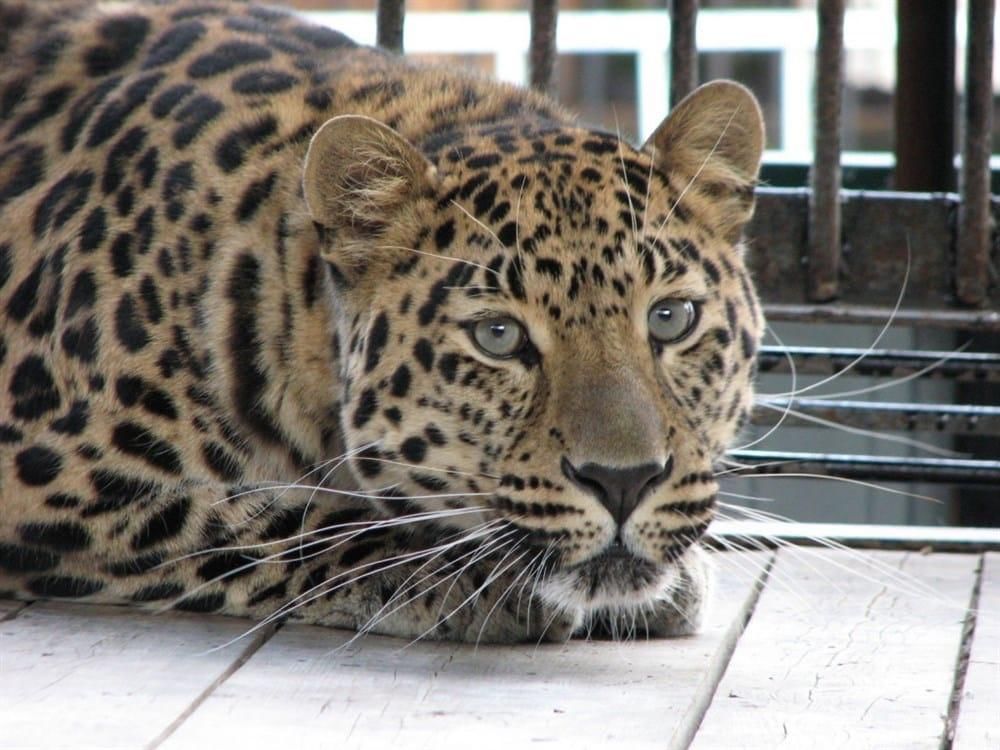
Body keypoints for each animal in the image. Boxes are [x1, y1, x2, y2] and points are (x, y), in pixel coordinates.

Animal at [0, 0, 764, 648]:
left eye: (671, 319)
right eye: (498, 337)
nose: (625, 482)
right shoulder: (51, 467)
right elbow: (267, 518)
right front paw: (469, 577)